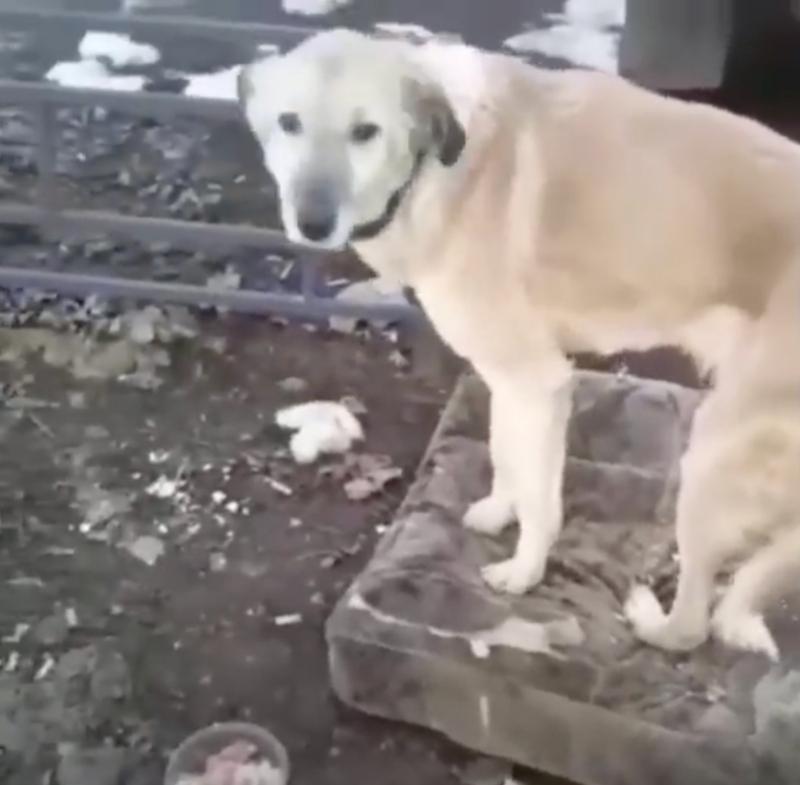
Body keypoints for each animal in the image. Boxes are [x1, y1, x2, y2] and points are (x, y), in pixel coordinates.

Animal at [241, 29, 800, 656]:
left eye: (366, 131)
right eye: (289, 122)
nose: (312, 223)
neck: (438, 171)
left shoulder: (538, 380)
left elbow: (539, 500)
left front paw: (523, 572)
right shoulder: (505, 379)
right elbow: (506, 454)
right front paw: (495, 512)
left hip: (710, 454)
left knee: (693, 625)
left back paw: (650, 619)